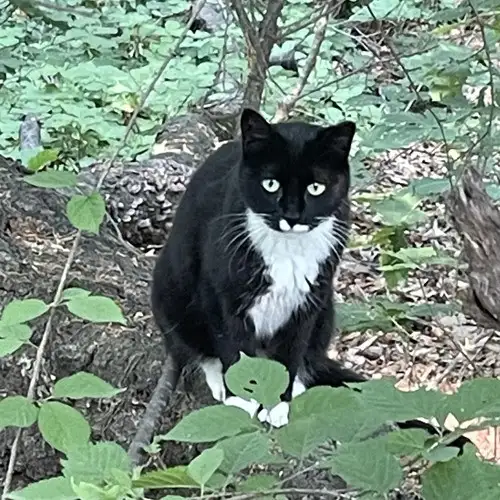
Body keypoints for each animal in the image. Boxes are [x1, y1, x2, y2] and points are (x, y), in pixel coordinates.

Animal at [151, 108, 470, 451]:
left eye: (316, 187)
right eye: (270, 184)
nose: (291, 215)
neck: (288, 249)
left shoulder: (311, 296)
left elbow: (292, 350)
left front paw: (279, 404)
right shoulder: (222, 290)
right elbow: (232, 344)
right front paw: (242, 401)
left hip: (327, 306)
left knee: (309, 356)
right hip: (170, 290)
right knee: (189, 343)